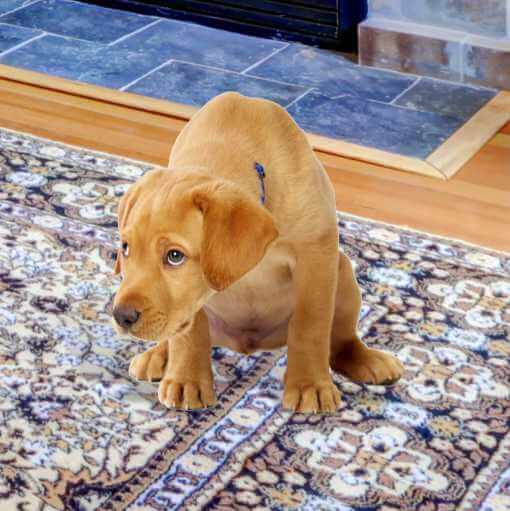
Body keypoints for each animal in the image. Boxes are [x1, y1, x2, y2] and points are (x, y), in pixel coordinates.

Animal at [113, 91, 404, 412]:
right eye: (125, 248)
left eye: (174, 256)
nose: (121, 316)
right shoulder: (192, 300)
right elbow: (189, 332)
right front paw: (186, 380)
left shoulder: (316, 255)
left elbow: (311, 324)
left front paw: (310, 386)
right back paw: (158, 356)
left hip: (343, 273)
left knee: (341, 340)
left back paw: (367, 360)